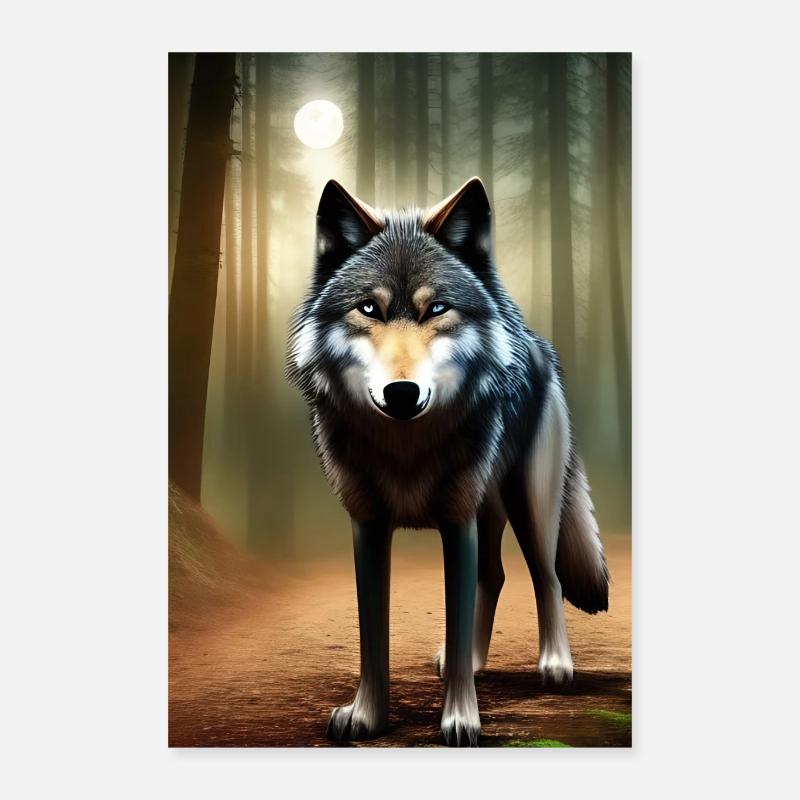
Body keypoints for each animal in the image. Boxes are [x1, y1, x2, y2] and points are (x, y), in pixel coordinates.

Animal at [287, 177, 609, 747]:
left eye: (436, 309)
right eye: (368, 309)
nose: (402, 393)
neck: (406, 447)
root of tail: (538, 342)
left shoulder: (457, 523)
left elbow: (457, 620)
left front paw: (461, 719)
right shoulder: (368, 526)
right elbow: (373, 633)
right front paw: (367, 717)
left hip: (528, 504)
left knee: (545, 576)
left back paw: (555, 664)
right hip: (489, 510)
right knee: (495, 576)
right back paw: (482, 662)